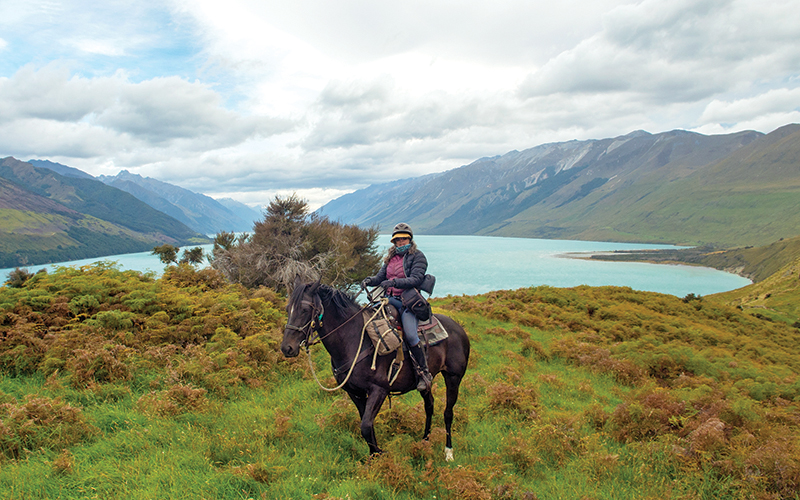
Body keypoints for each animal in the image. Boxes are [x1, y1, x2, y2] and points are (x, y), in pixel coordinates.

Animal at [280, 279, 470, 461]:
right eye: (288, 308)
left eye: (305, 309)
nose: (287, 348)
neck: (355, 339)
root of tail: (458, 327)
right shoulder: (355, 393)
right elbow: (366, 425)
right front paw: (374, 456)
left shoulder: (379, 390)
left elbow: (365, 426)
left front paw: (380, 454)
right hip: (425, 384)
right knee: (429, 405)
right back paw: (424, 441)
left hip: (453, 378)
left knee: (448, 413)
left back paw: (448, 452)